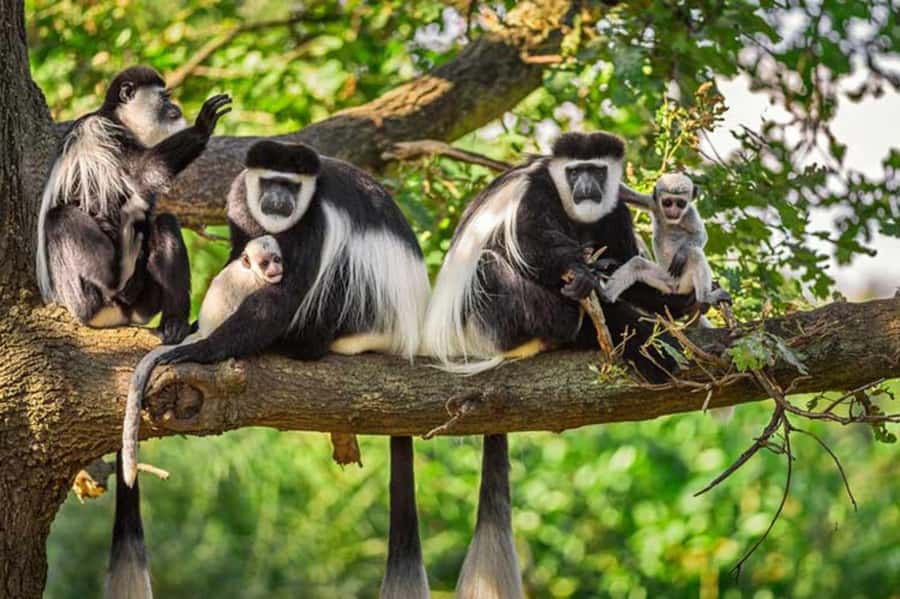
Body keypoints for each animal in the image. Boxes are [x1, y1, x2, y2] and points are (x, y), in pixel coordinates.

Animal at [35, 65, 231, 344]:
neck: (120, 120)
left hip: (144, 303)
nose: (176, 107)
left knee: (164, 222)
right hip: (78, 293)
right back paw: (115, 287)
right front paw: (202, 126)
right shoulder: (101, 132)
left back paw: (174, 324)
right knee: (61, 217)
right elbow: (142, 172)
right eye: (164, 97)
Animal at [422, 132, 699, 597]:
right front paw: (584, 274)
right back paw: (587, 322)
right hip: (490, 319)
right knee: (493, 266)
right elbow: (534, 244)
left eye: (597, 170)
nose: (585, 185)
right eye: (574, 172)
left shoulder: (615, 210)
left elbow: (623, 253)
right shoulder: (536, 194)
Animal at [601, 172, 731, 308]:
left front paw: (681, 254)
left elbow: (700, 235)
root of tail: (674, 287)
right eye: (667, 202)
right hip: (663, 279)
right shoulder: (653, 203)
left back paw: (705, 297)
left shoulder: (690, 213)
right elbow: (623, 193)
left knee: (695, 253)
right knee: (637, 264)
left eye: (680, 203)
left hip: (684, 281)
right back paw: (605, 295)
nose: (673, 211)